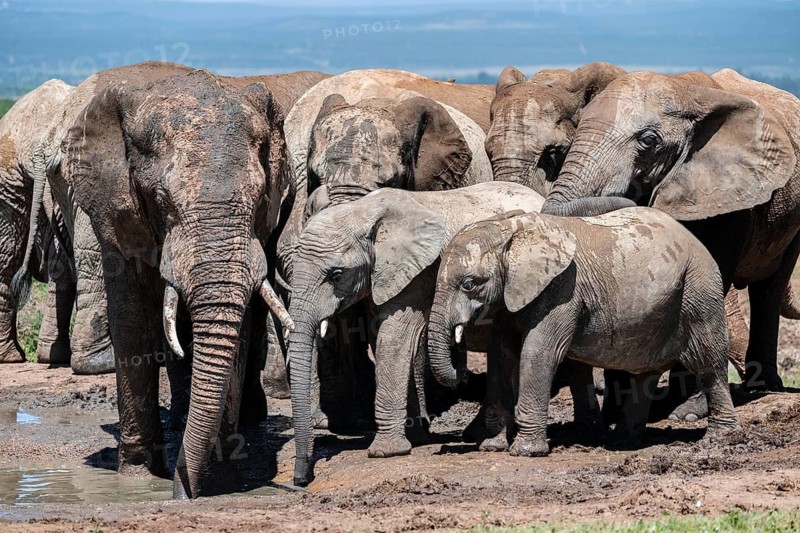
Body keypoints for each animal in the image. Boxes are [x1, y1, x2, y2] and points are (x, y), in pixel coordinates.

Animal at [54, 63, 324, 499]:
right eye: (162, 200)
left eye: (259, 198)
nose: (182, 496)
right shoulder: (115, 209)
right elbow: (131, 321)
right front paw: (137, 478)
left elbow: (238, 328)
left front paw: (220, 480)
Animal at [289, 181, 544, 486]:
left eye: (336, 275)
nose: (301, 480)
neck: (363, 211)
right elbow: (382, 336)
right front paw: (415, 438)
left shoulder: (418, 274)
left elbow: (395, 337)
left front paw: (385, 452)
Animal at [428, 208, 741, 456]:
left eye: (469, 284)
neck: (509, 229)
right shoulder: (511, 298)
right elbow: (502, 355)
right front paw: (492, 446)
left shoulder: (561, 290)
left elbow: (537, 353)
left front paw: (525, 452)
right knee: (645, 373)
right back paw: (624, 440)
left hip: (699, 290)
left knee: (709, 364)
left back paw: (720, 438)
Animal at [540, 69, 800, 400]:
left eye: (648, 141)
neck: (683, 89)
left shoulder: (728, 199)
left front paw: (686, 404)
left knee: (770, 288)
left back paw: (765, 387)